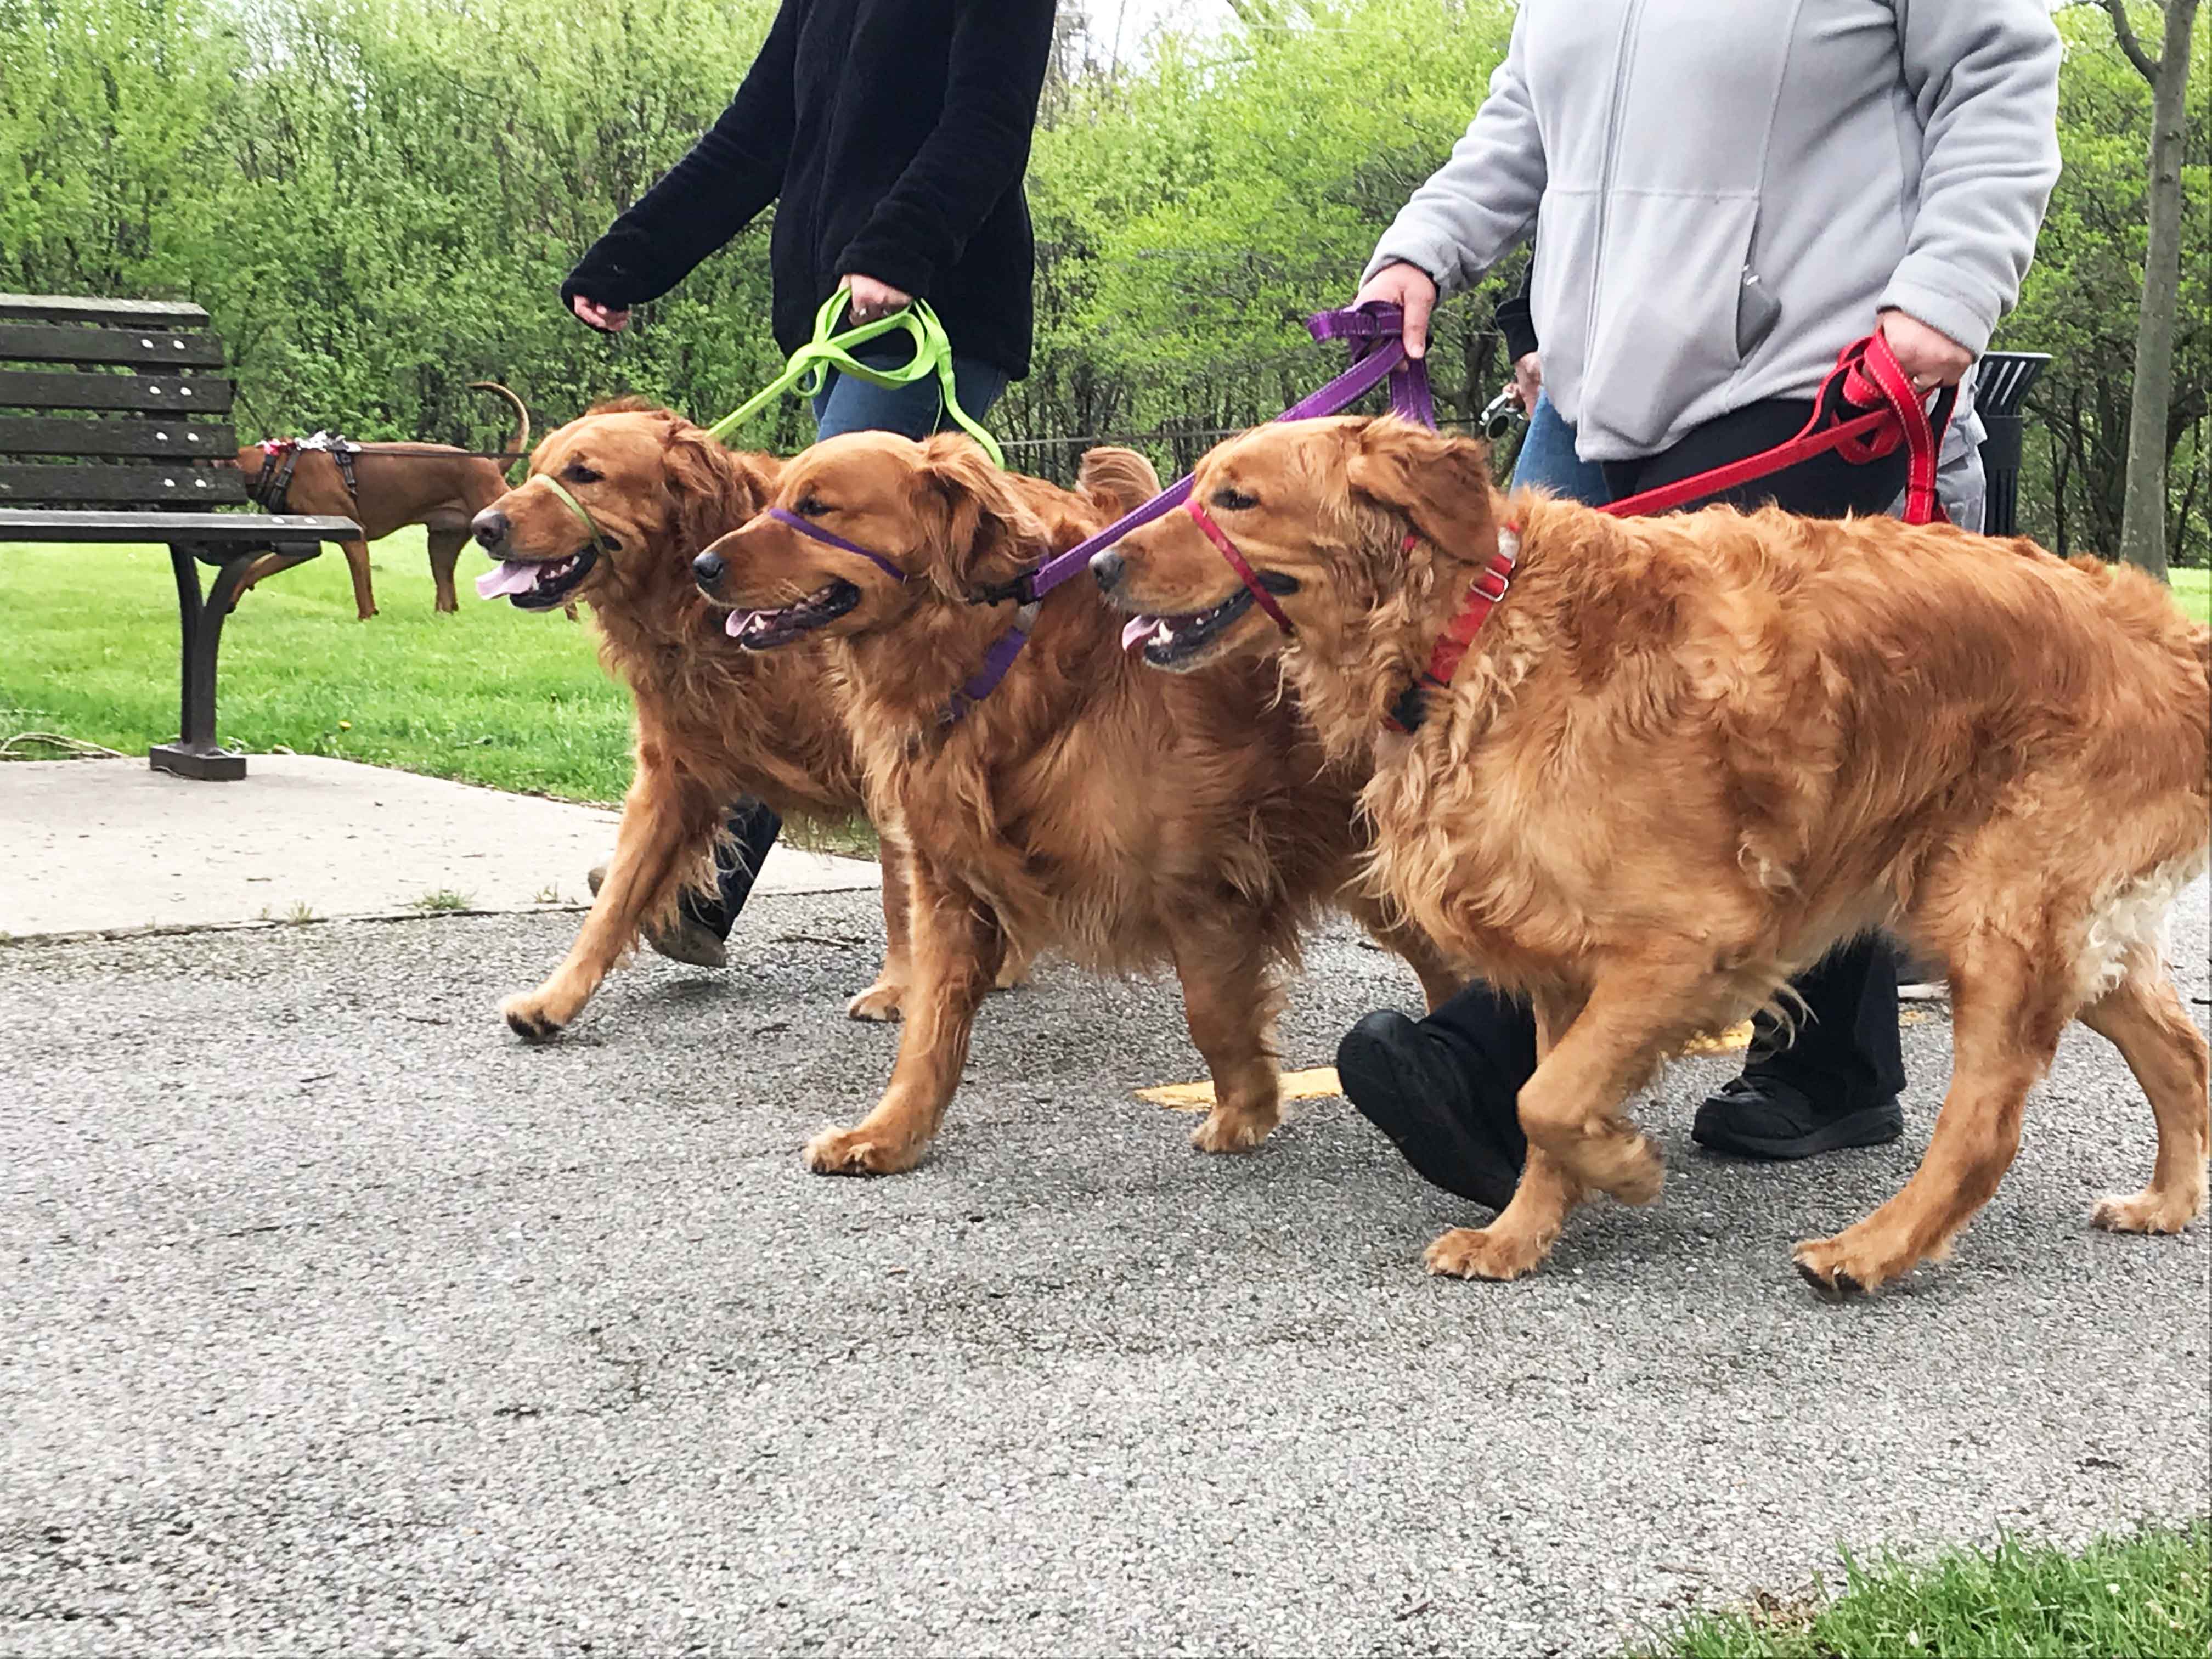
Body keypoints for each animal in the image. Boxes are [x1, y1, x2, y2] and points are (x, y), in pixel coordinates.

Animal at [234, 382, 531, 619]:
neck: (279, 465)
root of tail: (492, 465)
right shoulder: (305, 540)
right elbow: (254, 568)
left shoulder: (355, 539)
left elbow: (363, 589)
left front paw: (367, 619)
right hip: (441, 545)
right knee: (447, 596)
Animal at [690, 431, 1469, 1186]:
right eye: (780, 497)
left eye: (817, 507)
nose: (701, 565)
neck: (999, 653)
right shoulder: (948, 887)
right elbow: (927, 1035)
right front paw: (889, 1135)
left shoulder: (1201, 885)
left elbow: (1212, 1014)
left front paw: (1243, 1112)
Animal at [1092, 416, 2212, 1300]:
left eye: (1237, 497)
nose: (1100, 568)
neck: (1475, 628)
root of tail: (2171, 635)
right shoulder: (1555, 955)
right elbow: (1539, 1102)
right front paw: (1517, 1238)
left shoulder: (1691, 943)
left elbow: (1547, 1099)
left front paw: (1625, 1167)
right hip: (2062, 925)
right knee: (2180, 1050)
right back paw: (2164, 1201)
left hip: (1990, 911)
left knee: (1985, 1126)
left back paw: (1869, 1250)